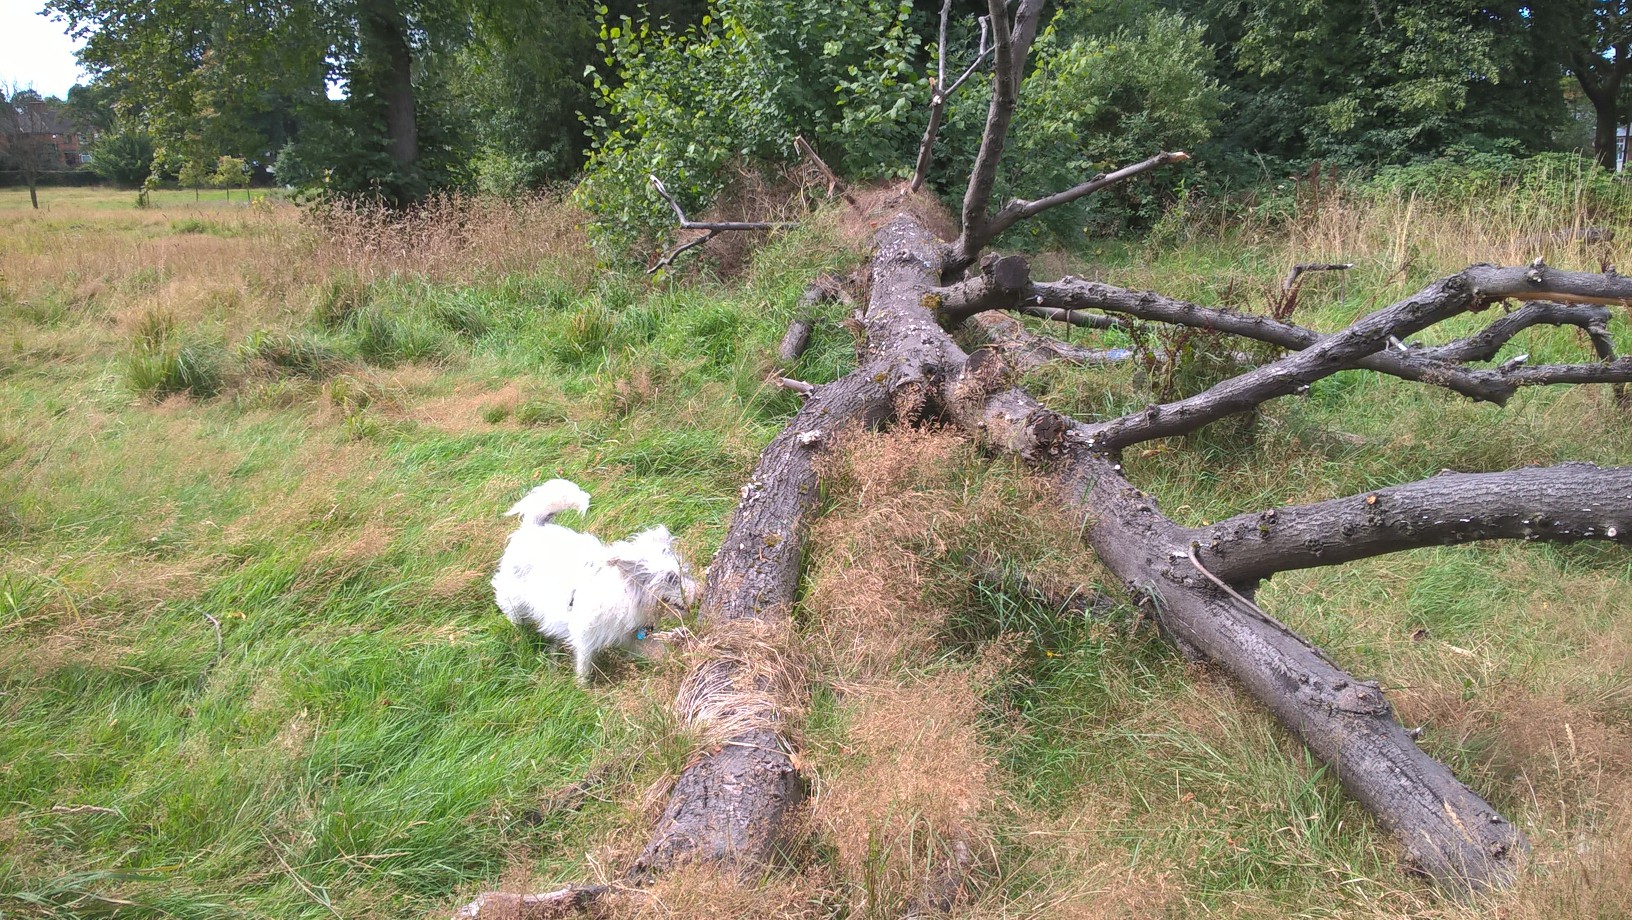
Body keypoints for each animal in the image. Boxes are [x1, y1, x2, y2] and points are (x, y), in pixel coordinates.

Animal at [492, 479, 698, 683]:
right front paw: (582, 686)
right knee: (515, 616)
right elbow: (584, 665)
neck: (625, 595)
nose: (697, 595)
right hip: (514, 600)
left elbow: (659, 652)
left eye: (685, 572)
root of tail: (533, 526)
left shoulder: (635, 637)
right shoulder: (585, 636)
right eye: (670, 578)